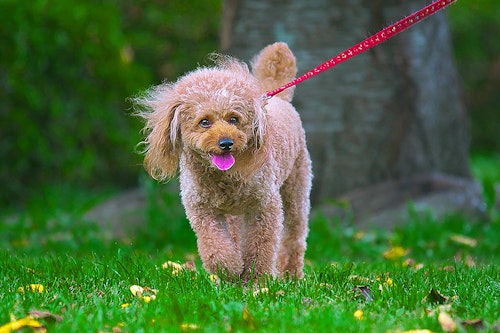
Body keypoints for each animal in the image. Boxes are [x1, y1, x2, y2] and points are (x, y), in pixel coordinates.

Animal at [135, 40, 310, 280]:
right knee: (236, 236)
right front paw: (230, 271)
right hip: (235, 214)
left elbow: (261, 247)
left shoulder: (264, 207)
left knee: (294, 234)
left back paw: (291, 275)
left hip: (295, 188)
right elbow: (215, 247)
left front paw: (256, 280)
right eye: (204, 122)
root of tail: (279, 98)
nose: (226, 143)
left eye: (234, 119)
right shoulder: (202, 211)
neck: (222, 177)